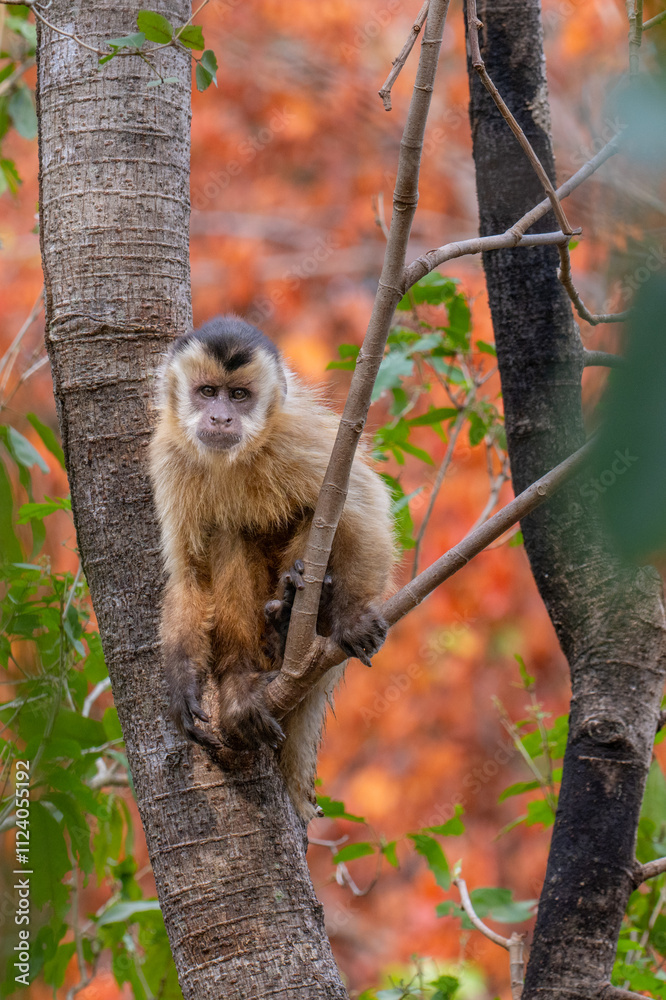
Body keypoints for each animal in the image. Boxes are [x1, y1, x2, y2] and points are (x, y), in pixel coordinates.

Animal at [149, 315, 395, 820]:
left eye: (239, 396)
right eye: (208, 392)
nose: (221, 417)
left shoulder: (296, 436)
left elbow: (363, 505)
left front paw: (352, 616)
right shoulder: (169, 455)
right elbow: (188, 572)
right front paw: (182, 680)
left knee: (317, 514)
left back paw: (298, 614)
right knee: (226, 534)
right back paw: (242, 675)